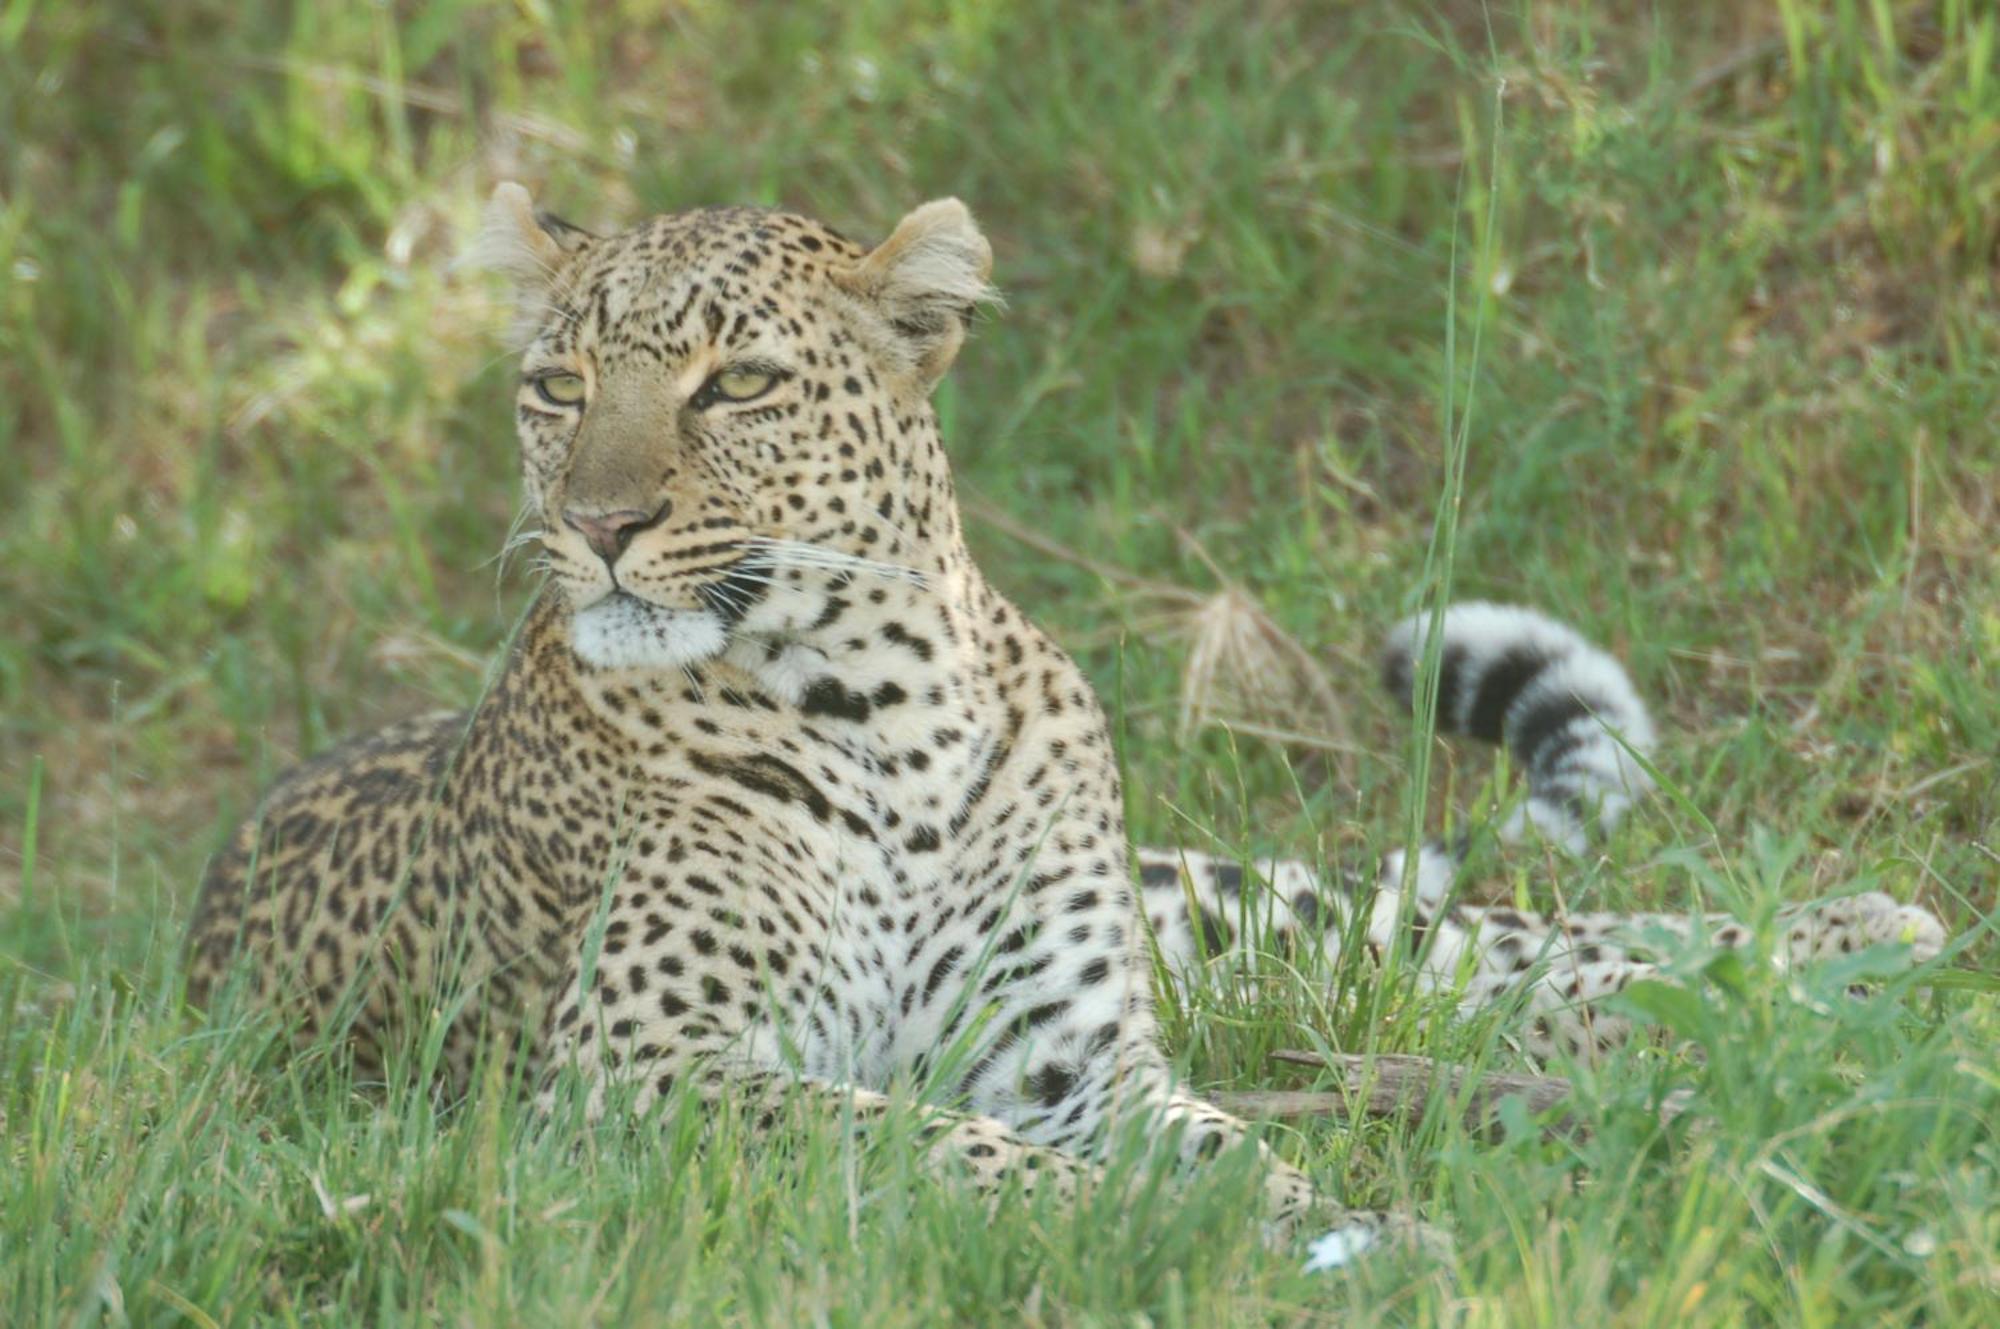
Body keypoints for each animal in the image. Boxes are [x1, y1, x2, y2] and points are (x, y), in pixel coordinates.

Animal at [180, 184, 1944, 1264]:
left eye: (735, 385)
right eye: (555, 388)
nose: (596, 526)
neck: (883, 709)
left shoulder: (1074, 1048)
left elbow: (1217, 1150)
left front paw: (1327, 1226)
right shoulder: (640, 1073)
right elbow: (943, 1148)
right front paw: (1231, 1242)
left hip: (1217, 914)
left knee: (1478, 934)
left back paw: (1847, 941)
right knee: (1469, 957)